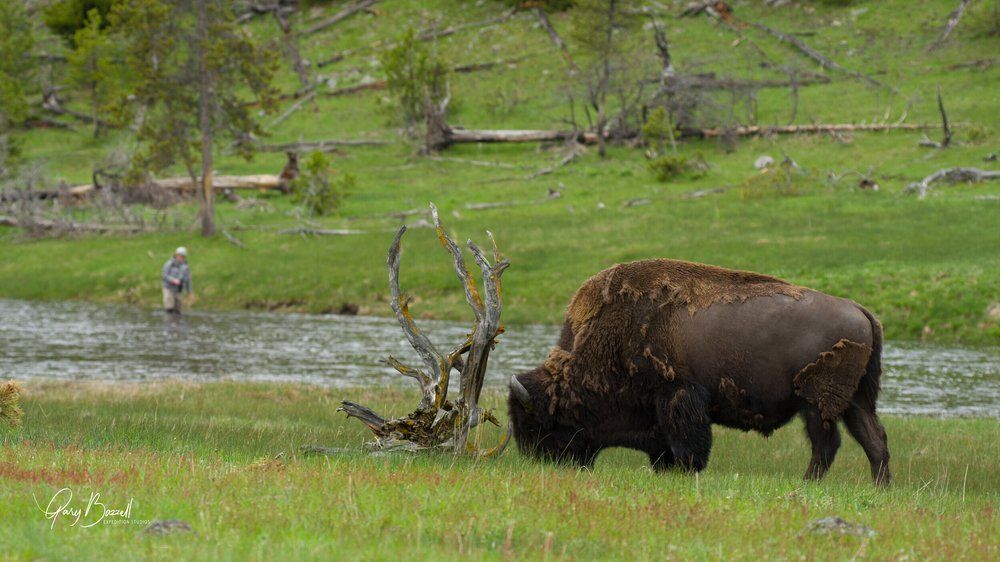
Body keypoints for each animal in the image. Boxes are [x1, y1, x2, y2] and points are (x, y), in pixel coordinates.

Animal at [508, 259, 891, 485]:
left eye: (539, 423)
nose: (540, 464)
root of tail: (860, 310)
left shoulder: (677, 396)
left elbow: (687, 442)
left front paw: (684, 470)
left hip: (816, 403)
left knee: (827, 444)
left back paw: (807, 482)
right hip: (855, 401)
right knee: (873, 440)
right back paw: (879, 487)